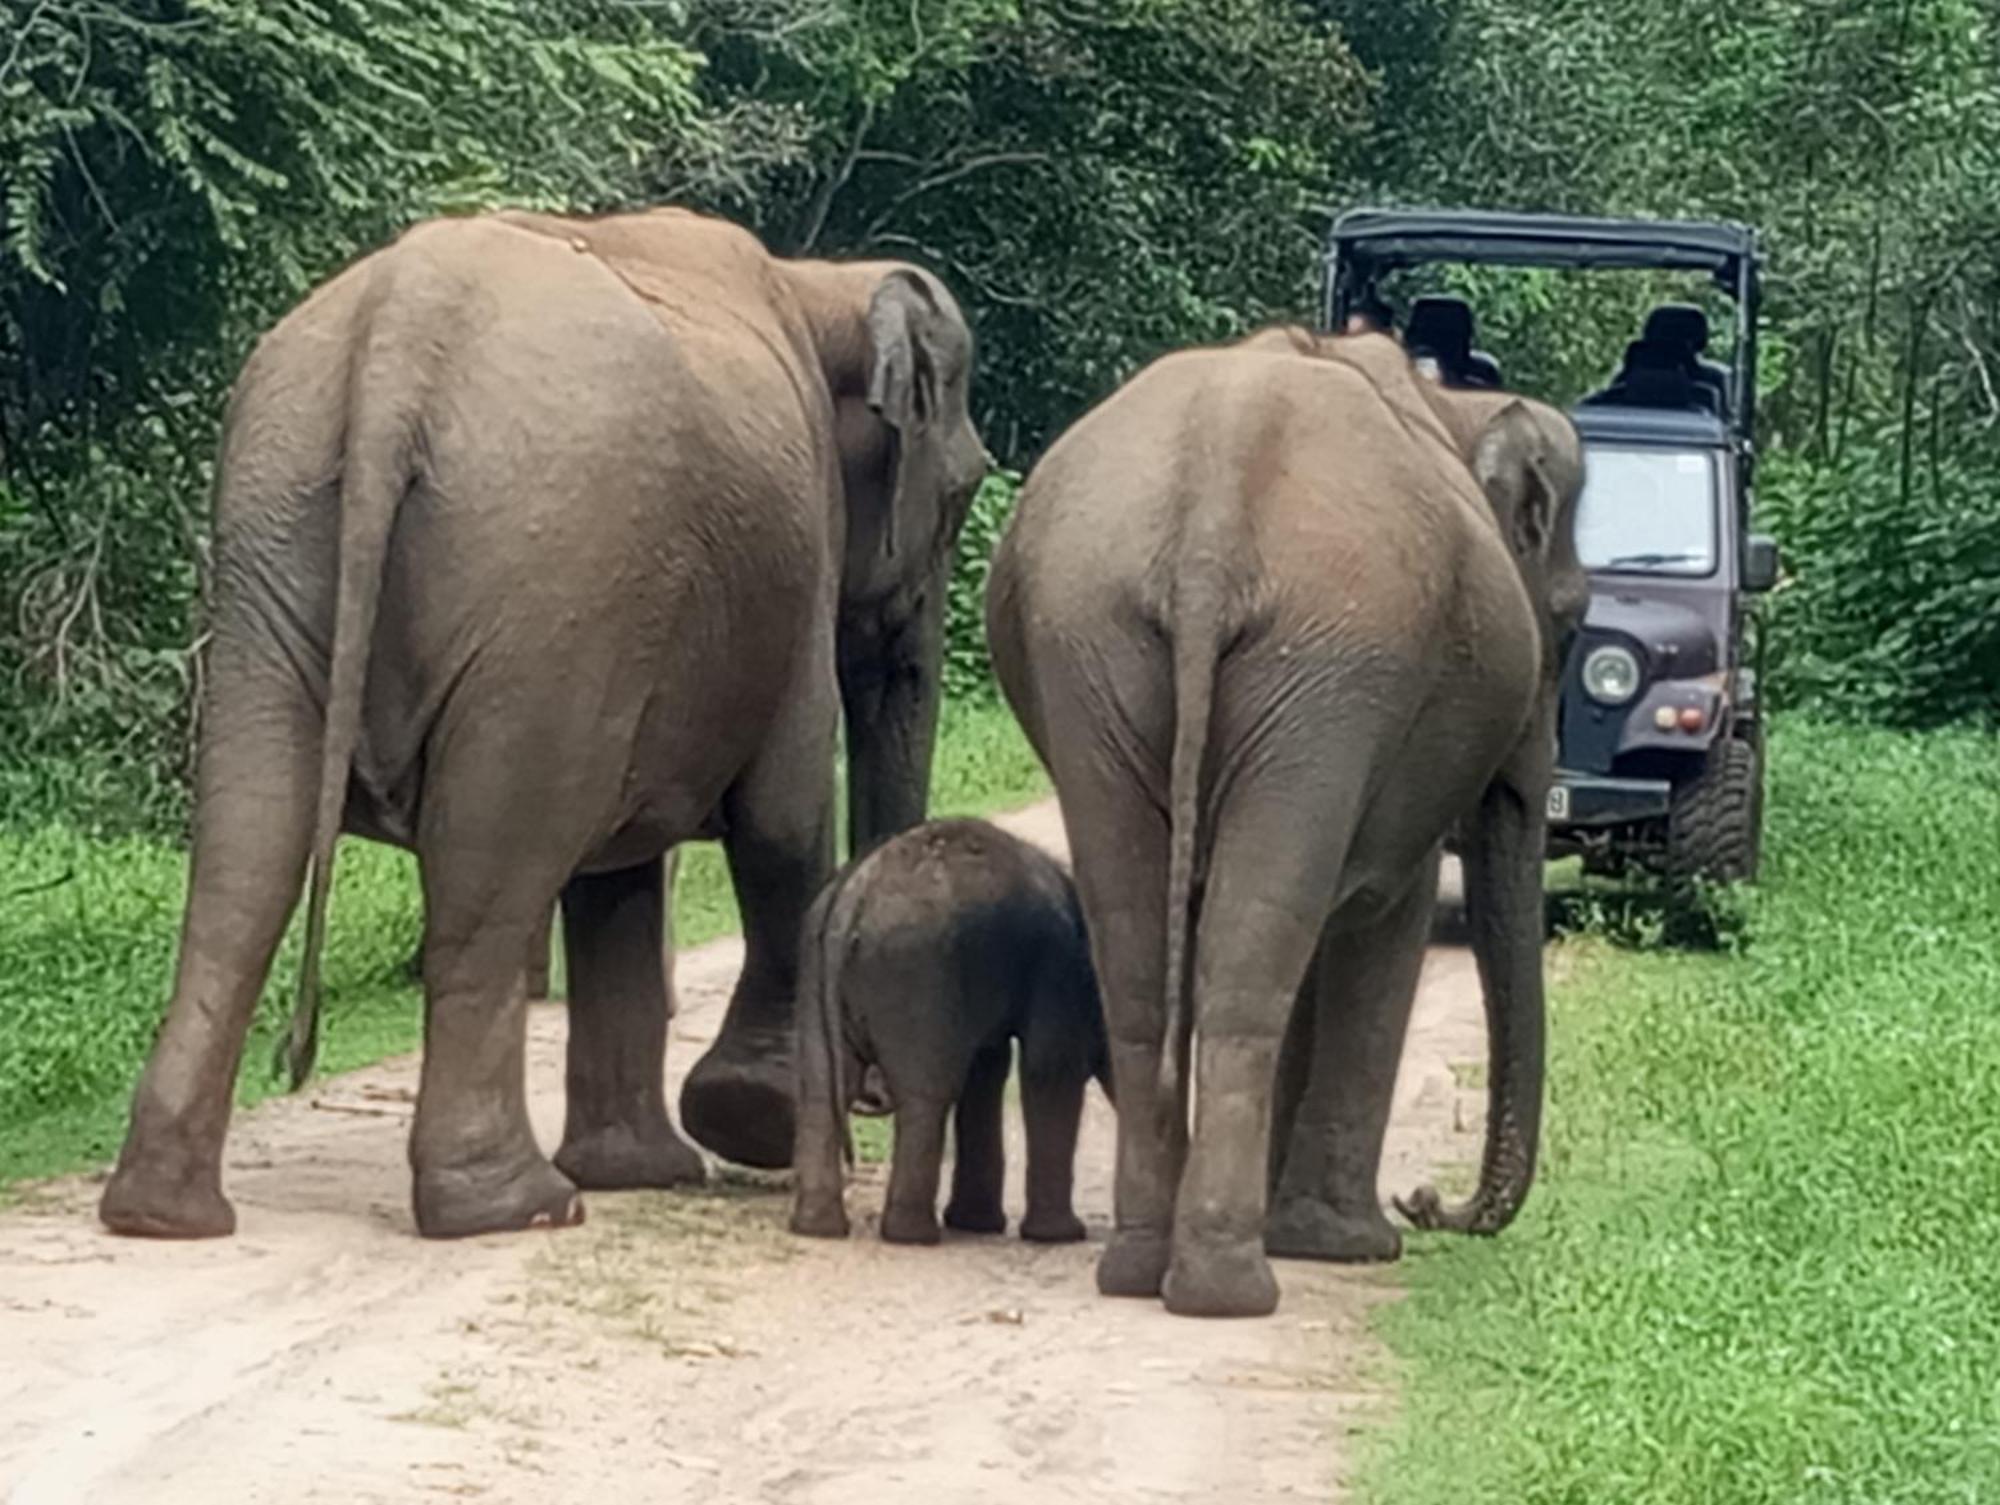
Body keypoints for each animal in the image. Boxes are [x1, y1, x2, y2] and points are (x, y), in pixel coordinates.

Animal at [101, 206, 992, 1240]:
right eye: (965, 492)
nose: (876, 1094)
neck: (819, 282)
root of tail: (401, 331)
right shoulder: (799, 551)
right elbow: (781, 817)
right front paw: (749, 1124)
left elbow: (625, 877)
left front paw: (647, 1169)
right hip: (553, 572)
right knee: (492, 869)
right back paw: (515, 1206)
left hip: (273, 533)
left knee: (249, 851)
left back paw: (164, 1214)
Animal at [792, 824, 1112, 1248]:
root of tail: (852, 896)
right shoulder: (1058, 966)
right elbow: (1050, 1067)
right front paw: (1060, 1237)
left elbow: (987, 1072)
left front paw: (977, 1224)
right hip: (917, 972)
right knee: (926, 1094)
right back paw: (912, 1237)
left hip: (814, 967)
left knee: (821, 1093)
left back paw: (817, 1229)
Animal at [984, 328, 1576, 1312]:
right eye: (1570, 621)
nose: (1427, 1201)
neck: (1450, 406)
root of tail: (1209, 532)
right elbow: (1383, 915)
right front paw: (1350, 1245)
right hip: (1332, 665)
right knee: (1253, 962)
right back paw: (1229, 1289)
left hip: (1097, 646)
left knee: (1144, 963)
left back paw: (1143, 1269)